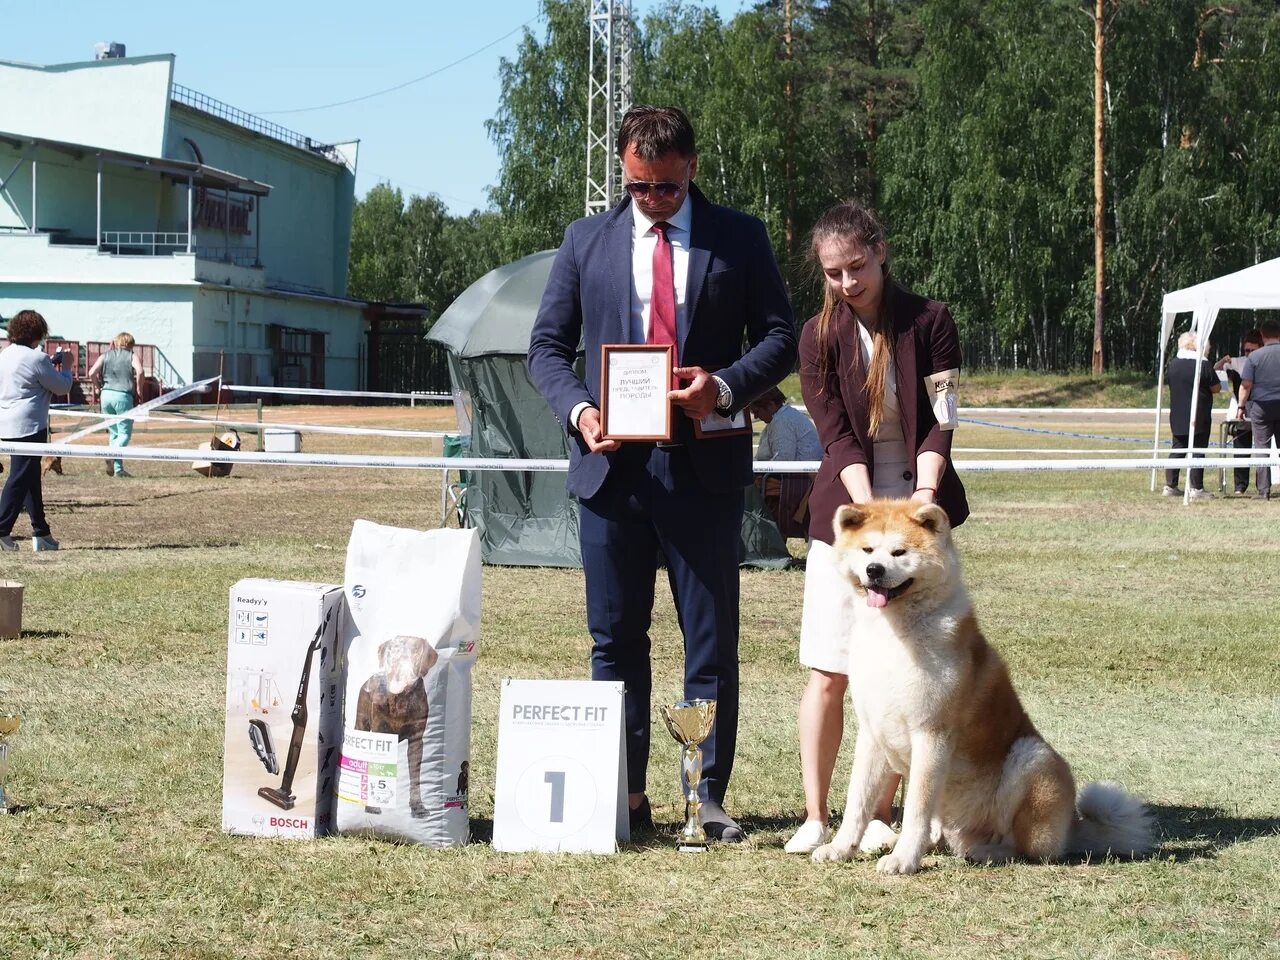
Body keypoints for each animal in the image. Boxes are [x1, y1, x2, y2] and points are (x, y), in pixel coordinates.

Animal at [814, 499, 1157, 875]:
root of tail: (1072, 827)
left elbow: (917, 808)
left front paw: (904, 859)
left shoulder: (931, 734)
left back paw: (986, 853)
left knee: (1023, 847)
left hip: (1030, 757)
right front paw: (840, 848)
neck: (892, 635)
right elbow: (857, 803)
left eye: (899, 552)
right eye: (867, 550)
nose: (874, 570)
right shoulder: (873, 733)